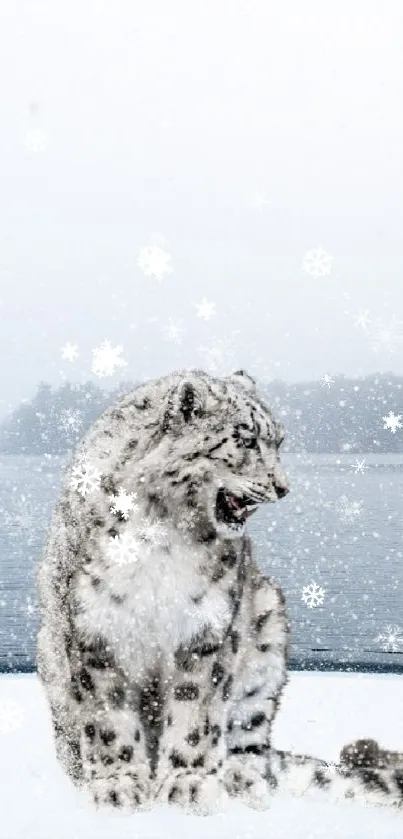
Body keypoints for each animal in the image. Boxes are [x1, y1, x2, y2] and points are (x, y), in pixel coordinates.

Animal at [36, 368, 403, 812]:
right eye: (245, 439)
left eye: (278, 442)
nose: (283, 487)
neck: (163, 535)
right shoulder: (95, 627)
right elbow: (108, 718)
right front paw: (118, 784)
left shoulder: (207, 628)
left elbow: (197, 711)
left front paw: (188, 783)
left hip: (267, 632)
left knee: (253, 740)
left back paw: (242, 779)